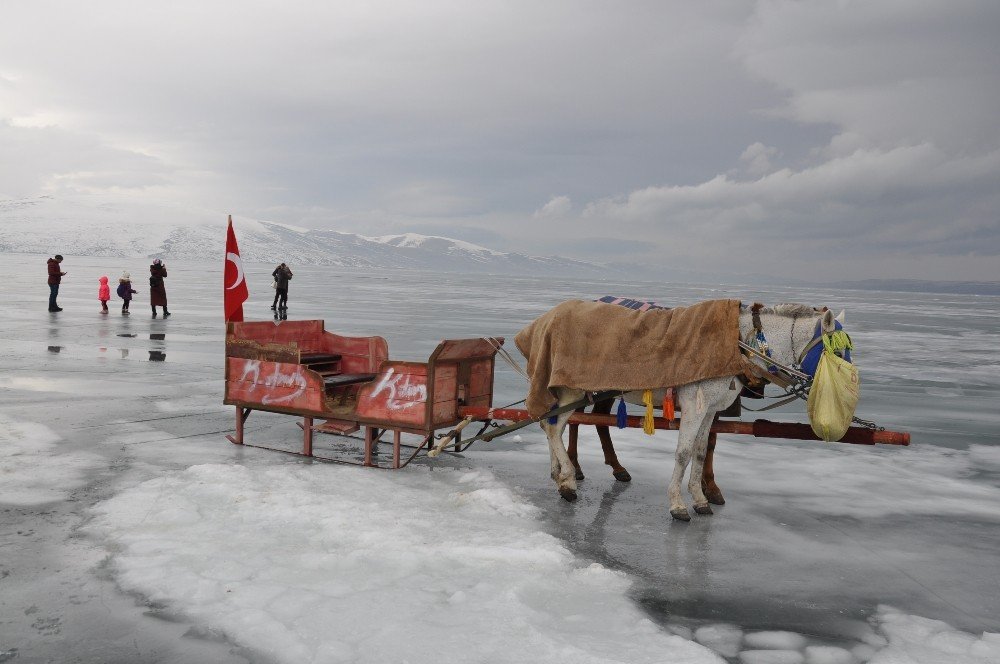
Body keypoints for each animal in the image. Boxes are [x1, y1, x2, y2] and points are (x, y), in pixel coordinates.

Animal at [536, 304, 848, 520]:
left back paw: (559, 475)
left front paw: (700, 499)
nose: (848, 390)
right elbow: (683, 453)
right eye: (838, 351)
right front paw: (677, 504)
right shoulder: (694, 408)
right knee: (554, 427)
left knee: (553, 426)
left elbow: (700, 452)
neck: (738, 345)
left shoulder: (709, 410)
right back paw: (568, 480)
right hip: (573, 391)